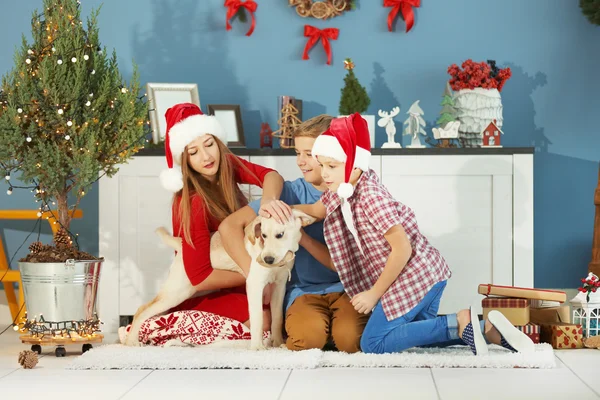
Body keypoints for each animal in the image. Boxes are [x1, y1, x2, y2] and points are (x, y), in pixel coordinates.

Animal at [125, 208, 316, 348]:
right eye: (263, 235)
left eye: (280, 235)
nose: (267, 260)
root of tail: (182, 244)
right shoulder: (255, 285)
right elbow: (258, 319)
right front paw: (258, 348)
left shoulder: (279, 286)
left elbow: (277, 318)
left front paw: (278, 343)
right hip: (177, 292)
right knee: (142, 310)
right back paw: (131, 340)